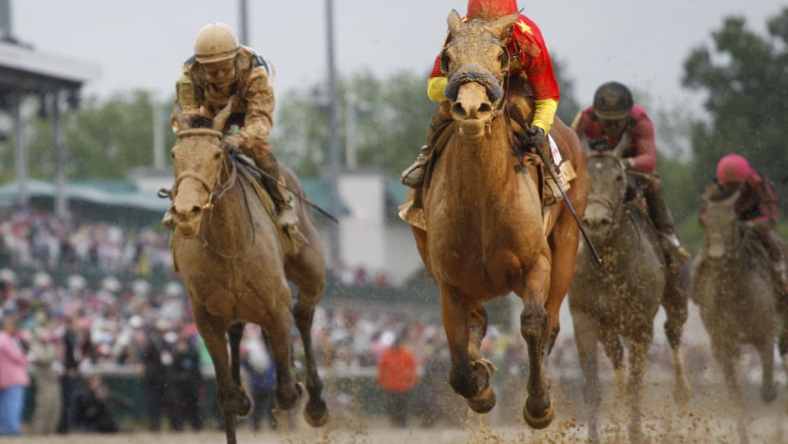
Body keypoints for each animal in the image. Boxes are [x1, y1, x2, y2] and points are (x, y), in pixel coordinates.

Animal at [169, 101, 330, 444]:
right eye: (175, 154)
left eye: (216, 154)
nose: (186, 212)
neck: (230, 242)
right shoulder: (206, 316)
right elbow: (227, 397)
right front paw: (240, 397)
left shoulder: (276, 308)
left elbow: (286, 391)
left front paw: (297, 390)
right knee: (238, 330)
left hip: (311, 272)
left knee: (304, 315)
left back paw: (316, 403)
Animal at [410, 9, 588, 426]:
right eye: (448, 57)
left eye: (500, 57)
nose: (471, 108)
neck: (483, 205)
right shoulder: (449, 280)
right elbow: (459, 359)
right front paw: (481, 388)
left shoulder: (536, 263)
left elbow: (535, 323)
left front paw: (539, 405)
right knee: (478, 321)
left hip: (567, 244)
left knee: (551, 321)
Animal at [568, 140, 692, 444]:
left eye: (618, 177)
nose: (595, 221)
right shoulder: (584, 318)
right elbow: (593, 387)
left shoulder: (640, 324)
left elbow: (637, 384)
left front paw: (636, 432)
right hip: (609, 327)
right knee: (616, 355)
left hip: (676, 297)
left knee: (673, 331)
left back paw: (682, 391)